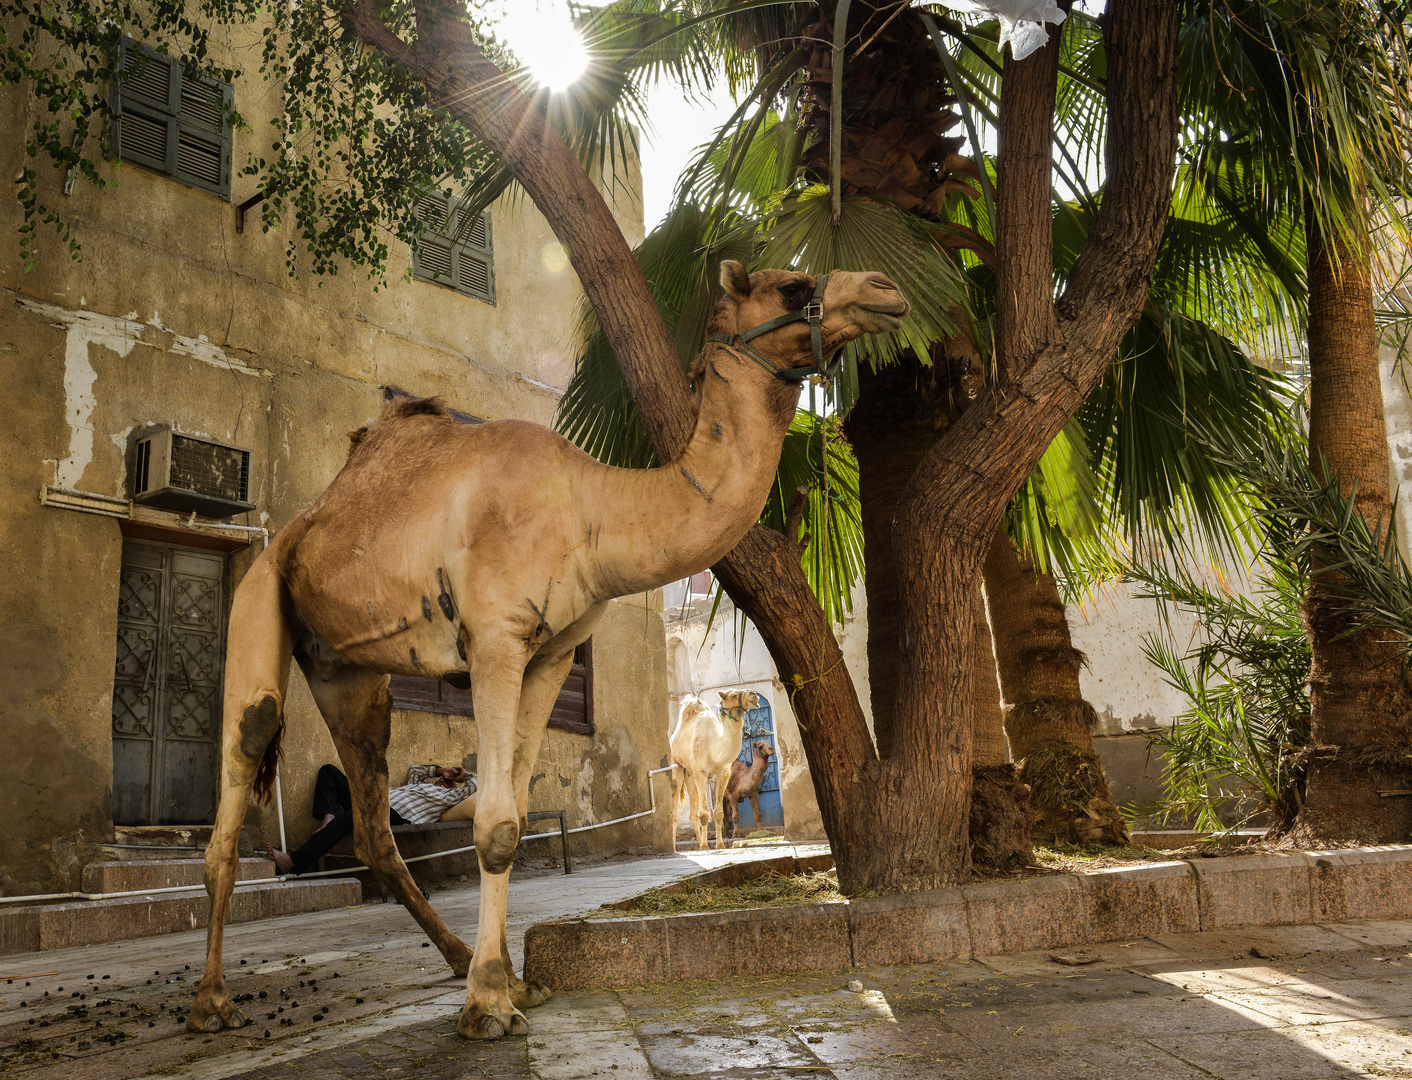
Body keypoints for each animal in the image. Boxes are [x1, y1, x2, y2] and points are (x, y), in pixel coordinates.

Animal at [672, 691, 762, 852]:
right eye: (733, 695)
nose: (753, 694)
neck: (712, 745)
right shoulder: (701, 773)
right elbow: (704, 813)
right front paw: (706, 846)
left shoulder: (723, 774)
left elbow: (719, 813)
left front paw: (719, 845)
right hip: (676, 764)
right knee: (675, 803)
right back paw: (676, 848)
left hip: (690, 773)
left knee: (693, 813)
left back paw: (700, 843)